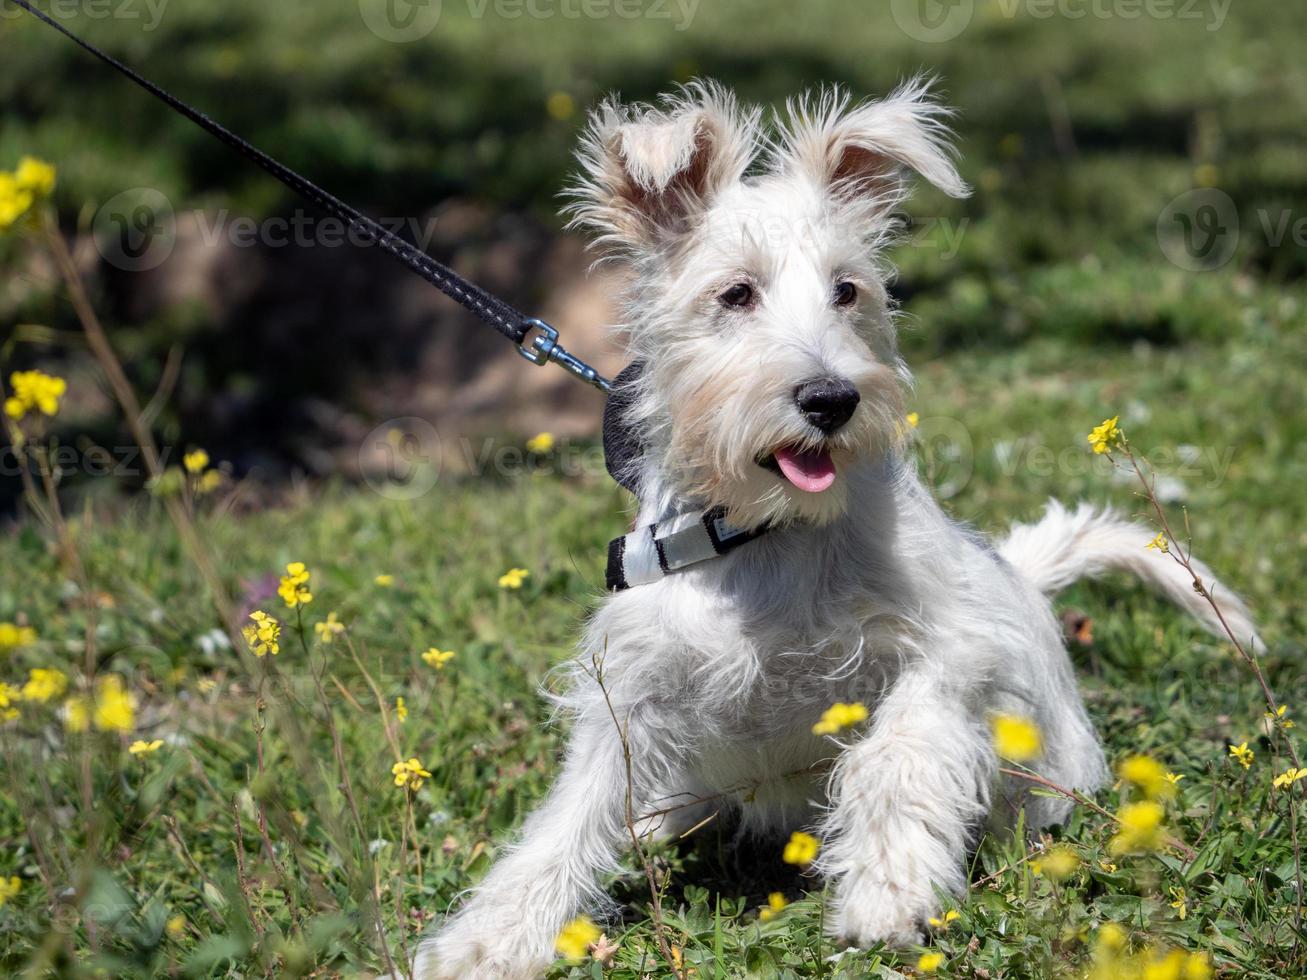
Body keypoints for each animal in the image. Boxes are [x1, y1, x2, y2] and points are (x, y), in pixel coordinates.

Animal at [413, 78, 1259, 980]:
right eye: (735, 294)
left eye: (846, 290)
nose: (831, 399)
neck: (767, 532)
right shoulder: (632, 696)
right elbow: (566, 819)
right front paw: (487, 939)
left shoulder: (945, 650)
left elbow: (895, 756)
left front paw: (887, 892)